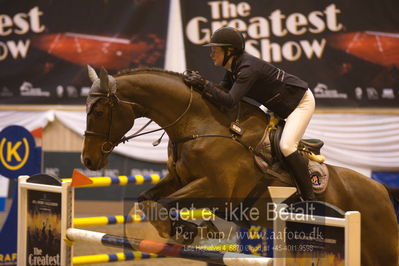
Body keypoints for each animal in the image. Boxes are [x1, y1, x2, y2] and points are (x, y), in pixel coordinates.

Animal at [82, 66, 399, 266]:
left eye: (97, 111)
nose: (88, 160)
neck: (199, 125)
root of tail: (381, 189)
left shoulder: (216, 188)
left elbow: (165, 203)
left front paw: (183, 228)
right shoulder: (178, 178)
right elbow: (148, 199)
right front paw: (184, 229)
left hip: (380, 248)